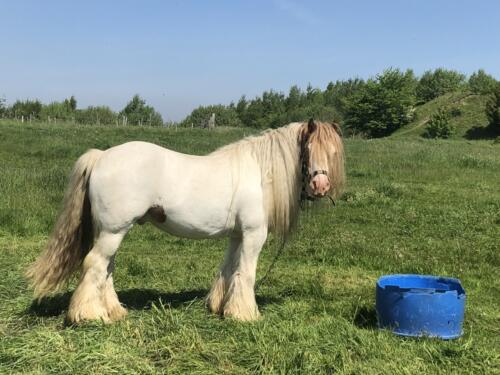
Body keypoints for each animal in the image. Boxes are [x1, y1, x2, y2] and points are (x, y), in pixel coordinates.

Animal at [27, 119, 346, 324]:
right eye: (308, 149)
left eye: (333, 152)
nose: (320, 186)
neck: (259, 171)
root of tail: (102, 155)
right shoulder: (254, 234)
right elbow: (247, 273)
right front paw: (245, 315)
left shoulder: (237, 235)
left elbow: (228, 270)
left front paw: (219, 307)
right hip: (113, 231)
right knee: (94, 264)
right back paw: (90, 315)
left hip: (112, 231)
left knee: (105, 269)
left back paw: (114, 311)